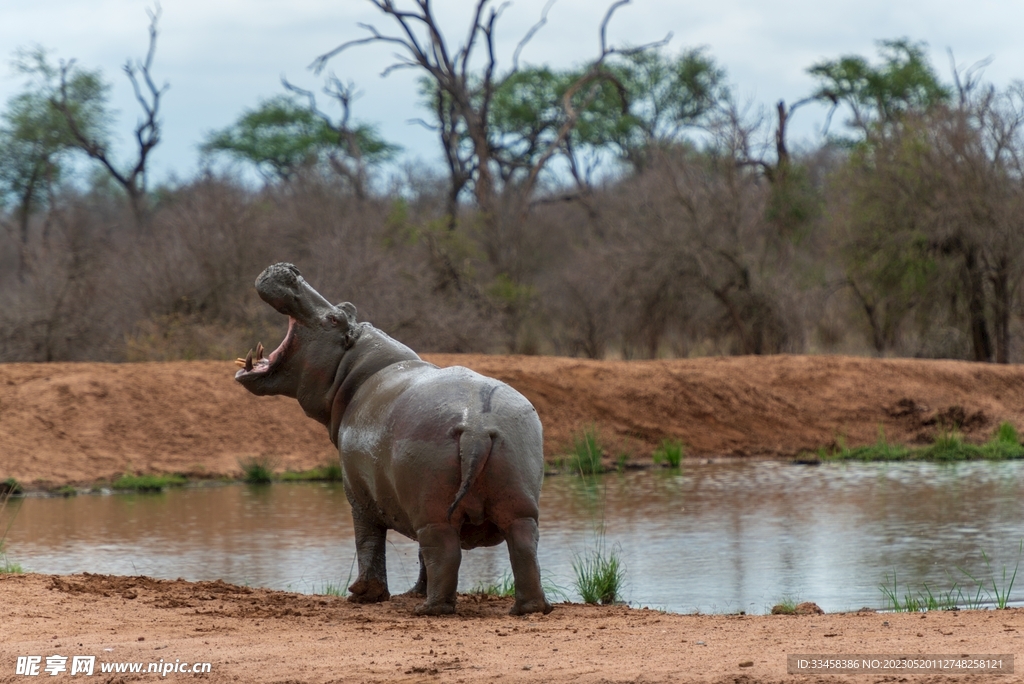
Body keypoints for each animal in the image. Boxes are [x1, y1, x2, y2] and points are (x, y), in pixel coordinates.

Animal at [234, 262, 552, 614]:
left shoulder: (358, 494)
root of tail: (478, 426)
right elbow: (414, 555)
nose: (291, 269)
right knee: (521, 549)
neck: (352, 368)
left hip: (433, 511)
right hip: (517, 502)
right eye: (344, 308)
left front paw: (363, 594)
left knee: (443, 552)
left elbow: (368, 541)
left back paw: (430, 609)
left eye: (335, 318)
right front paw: (410, 592)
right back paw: (527, 608)